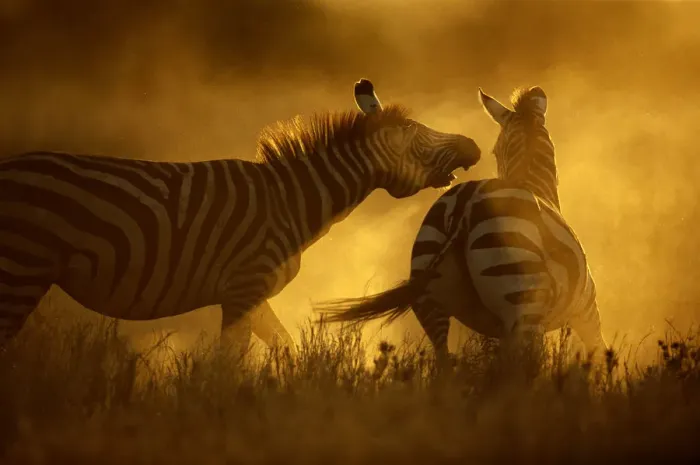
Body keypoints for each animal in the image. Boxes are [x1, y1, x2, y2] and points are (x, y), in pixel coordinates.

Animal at [0, 78, 482, 354]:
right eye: (418, 135)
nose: (474, 146)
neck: (291, 198)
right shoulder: (242, 289)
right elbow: (225, 366)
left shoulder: (255, 292)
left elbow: (286, 349)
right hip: (21, 268)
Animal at [314, 85, 609, 361]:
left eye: (495, 151)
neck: (532, 183)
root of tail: (465, 204)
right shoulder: (587, 311)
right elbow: (598, 355)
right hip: (521, 300)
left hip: (430, 301)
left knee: (445, 362)